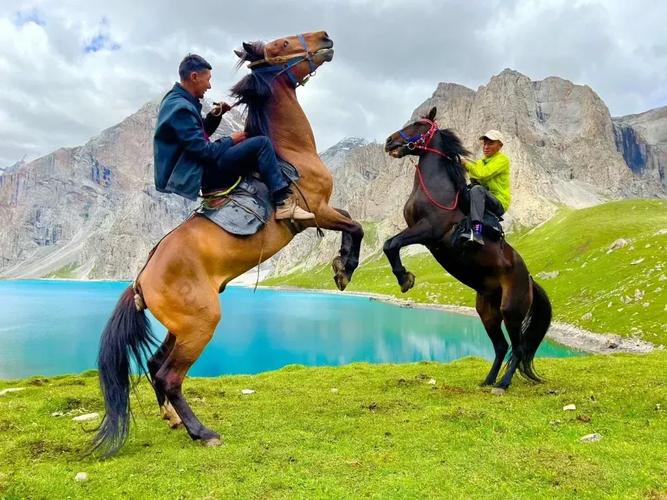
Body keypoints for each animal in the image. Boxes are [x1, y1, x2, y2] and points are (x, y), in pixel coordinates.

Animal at [92, 31, 364, 456]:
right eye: (282, 43)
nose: (325, 37)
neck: (288, 151)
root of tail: (140, 280)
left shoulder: (324, 210)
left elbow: (353, 220)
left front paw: (342, 266)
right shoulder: (317, 210)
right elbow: (356, 225)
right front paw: (343, 269)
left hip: (180, 327)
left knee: (155, 365)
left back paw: (172, 419)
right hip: (200, 325)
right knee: (169, 375)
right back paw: (202, 432)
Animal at [383, 106, 552, 392]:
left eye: (418, 124)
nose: (389, 142)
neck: (438, 190)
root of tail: (530, 280)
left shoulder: (428, 231)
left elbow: (391, 244)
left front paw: (405, 279)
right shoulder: (417, 231)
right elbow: (389, 244)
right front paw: (404, 277)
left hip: (511, 311)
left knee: (517, 349)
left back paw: (502, 384)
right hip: (487, 312)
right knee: (501, 347)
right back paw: (487, 380)